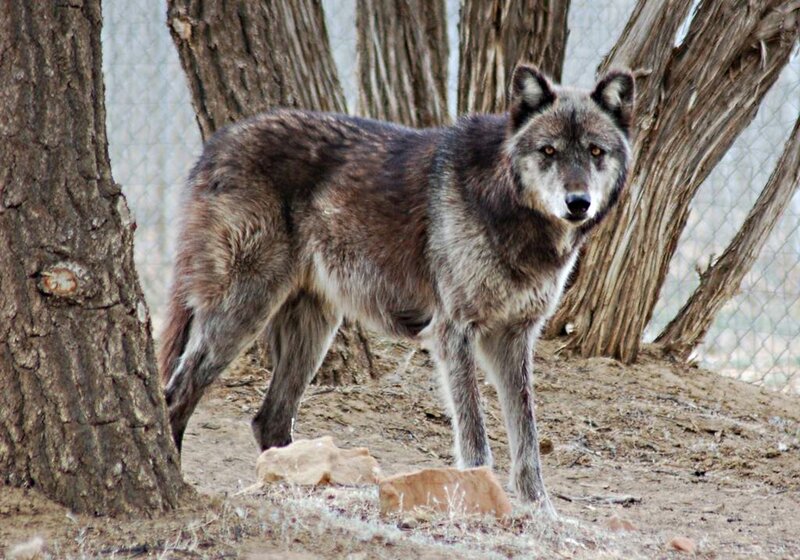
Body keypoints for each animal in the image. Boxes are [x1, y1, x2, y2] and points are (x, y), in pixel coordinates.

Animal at [159, 64, 635, 515]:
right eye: (548, 151)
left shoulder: (514, 338)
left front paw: (543, 513)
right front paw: (479, 496)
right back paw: (176, 476)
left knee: (269, 419)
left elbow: (528, 439)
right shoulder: (454, 332)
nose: (578, 203)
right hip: (244, 311)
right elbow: (475, 433)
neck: (509, 205)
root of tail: (214, 145)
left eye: (595, 151)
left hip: (315, 328)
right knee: (176, 394)